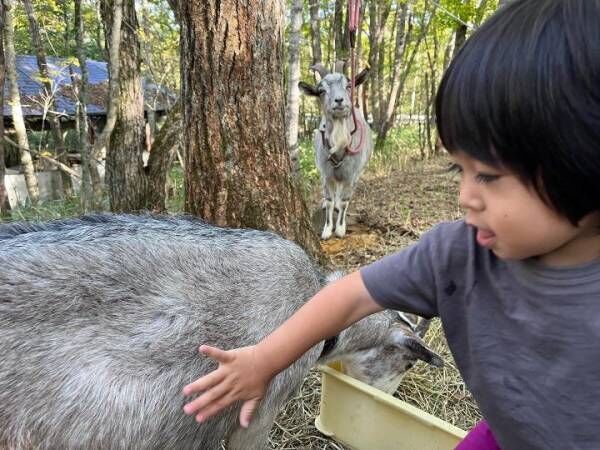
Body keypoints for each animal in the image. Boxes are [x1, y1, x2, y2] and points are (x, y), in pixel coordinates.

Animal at [298, 62, 372, 241]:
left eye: (348, 86)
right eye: (321, 91)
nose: (339, 100)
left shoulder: (350, 175)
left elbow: (345, 201)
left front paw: (339, 229)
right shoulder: (326, 175)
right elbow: (330, 200)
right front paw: (326, 230)